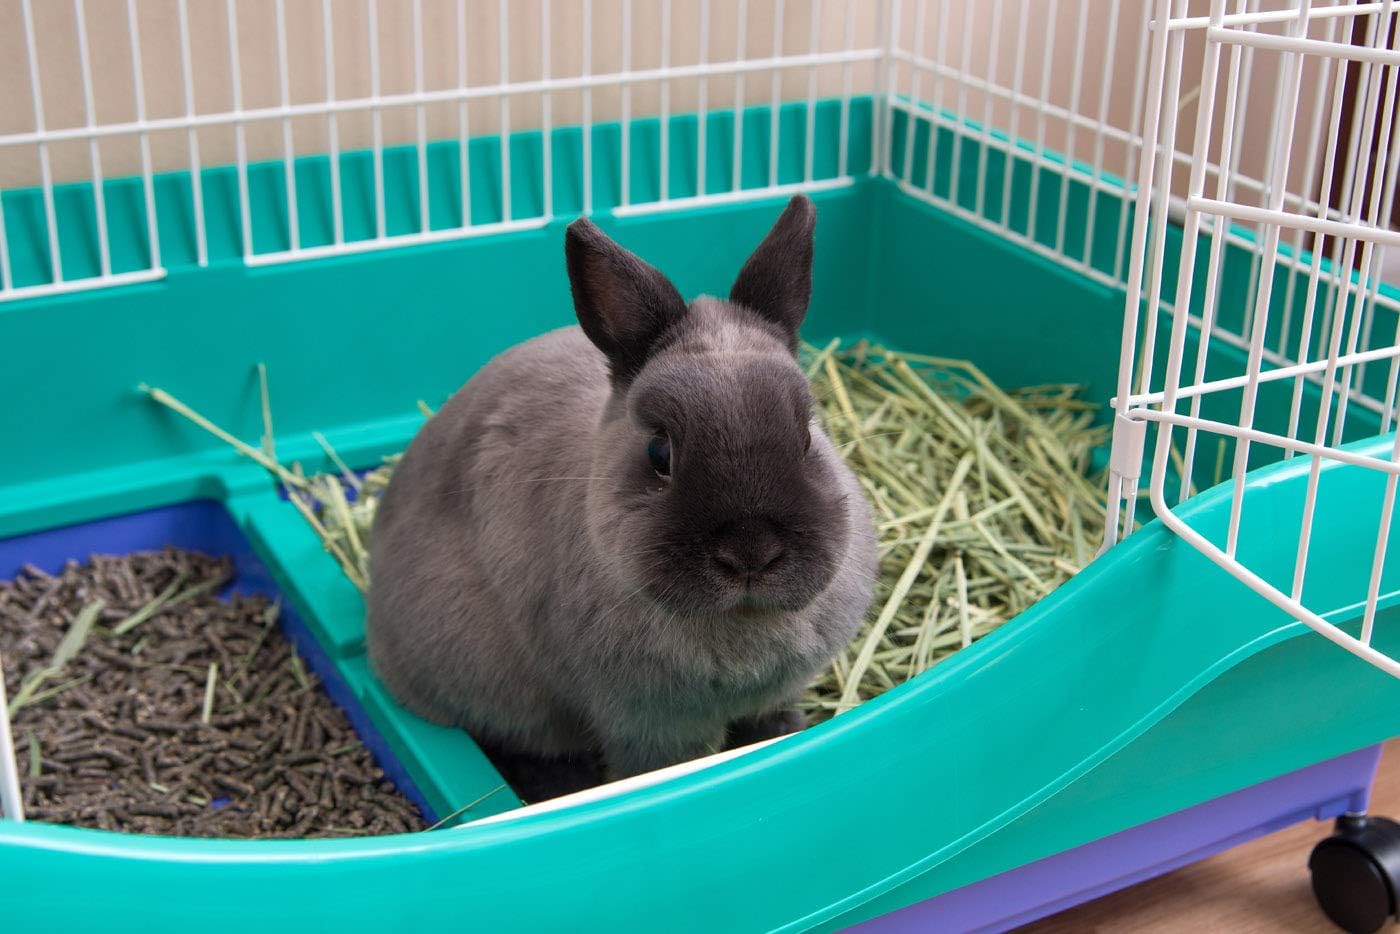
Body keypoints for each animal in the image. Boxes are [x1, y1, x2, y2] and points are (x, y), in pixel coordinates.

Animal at [366, 194, 877, 786]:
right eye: (659, 452)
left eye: (807, 436)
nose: (750, 553)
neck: (741, 622)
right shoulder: (650, 728)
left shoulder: (775, 695)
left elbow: (776, 721)